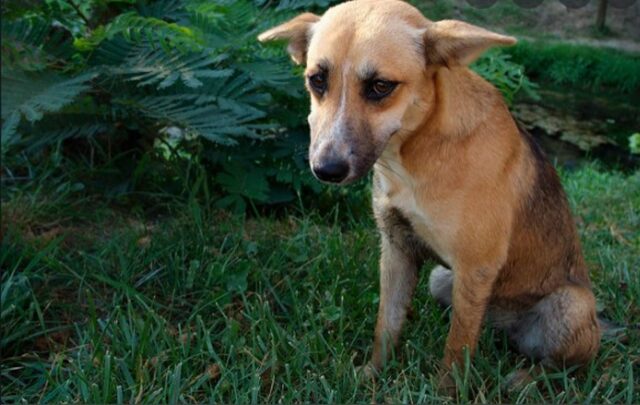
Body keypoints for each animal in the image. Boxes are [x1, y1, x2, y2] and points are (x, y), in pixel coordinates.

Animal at [256, 0, 600, 382]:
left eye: (380, 86)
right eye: (317, 80)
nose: (326, 170)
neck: (416, 153)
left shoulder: (476, 266)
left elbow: (456, 347)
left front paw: (446, 389)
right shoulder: (397, 249)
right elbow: (387, 324)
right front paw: (372, 374)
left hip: (571, 306)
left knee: (561, 366)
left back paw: (522, 379)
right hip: (442, 279)